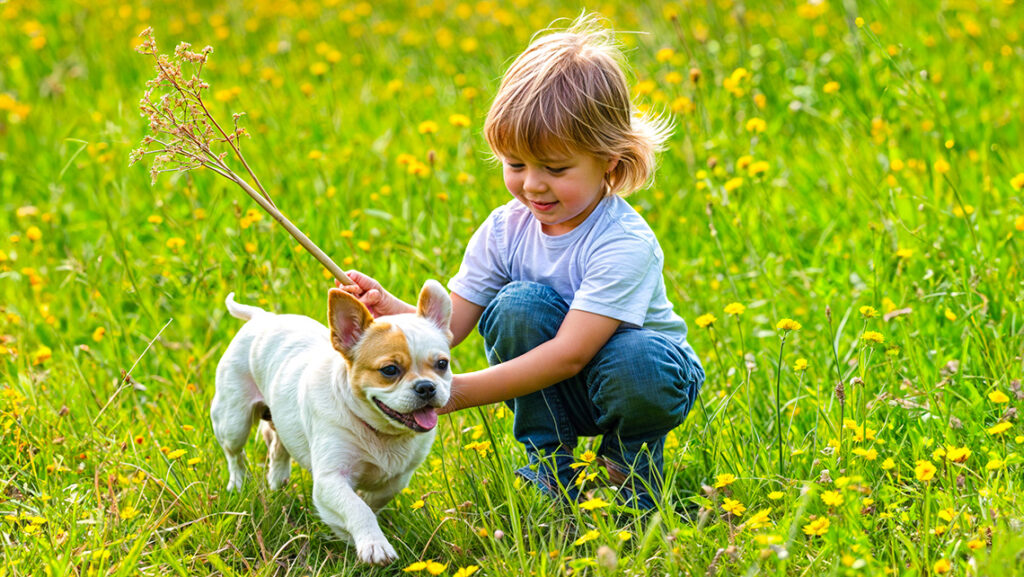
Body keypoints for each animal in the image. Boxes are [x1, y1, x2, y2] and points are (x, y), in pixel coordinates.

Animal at [211, 282, 452, 565]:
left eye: (442, 364)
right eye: (390, 370)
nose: (426, 386)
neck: (380, 431)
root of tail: (262, 317)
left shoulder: (398, 477)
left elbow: (373, 500)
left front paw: (350, 531)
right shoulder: (330, 479)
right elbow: (357, 508)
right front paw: (373, 544)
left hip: (280, 417)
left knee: (278, 446)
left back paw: (278, 481)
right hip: (233, 422)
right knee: (235, 455)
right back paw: (238, 485)